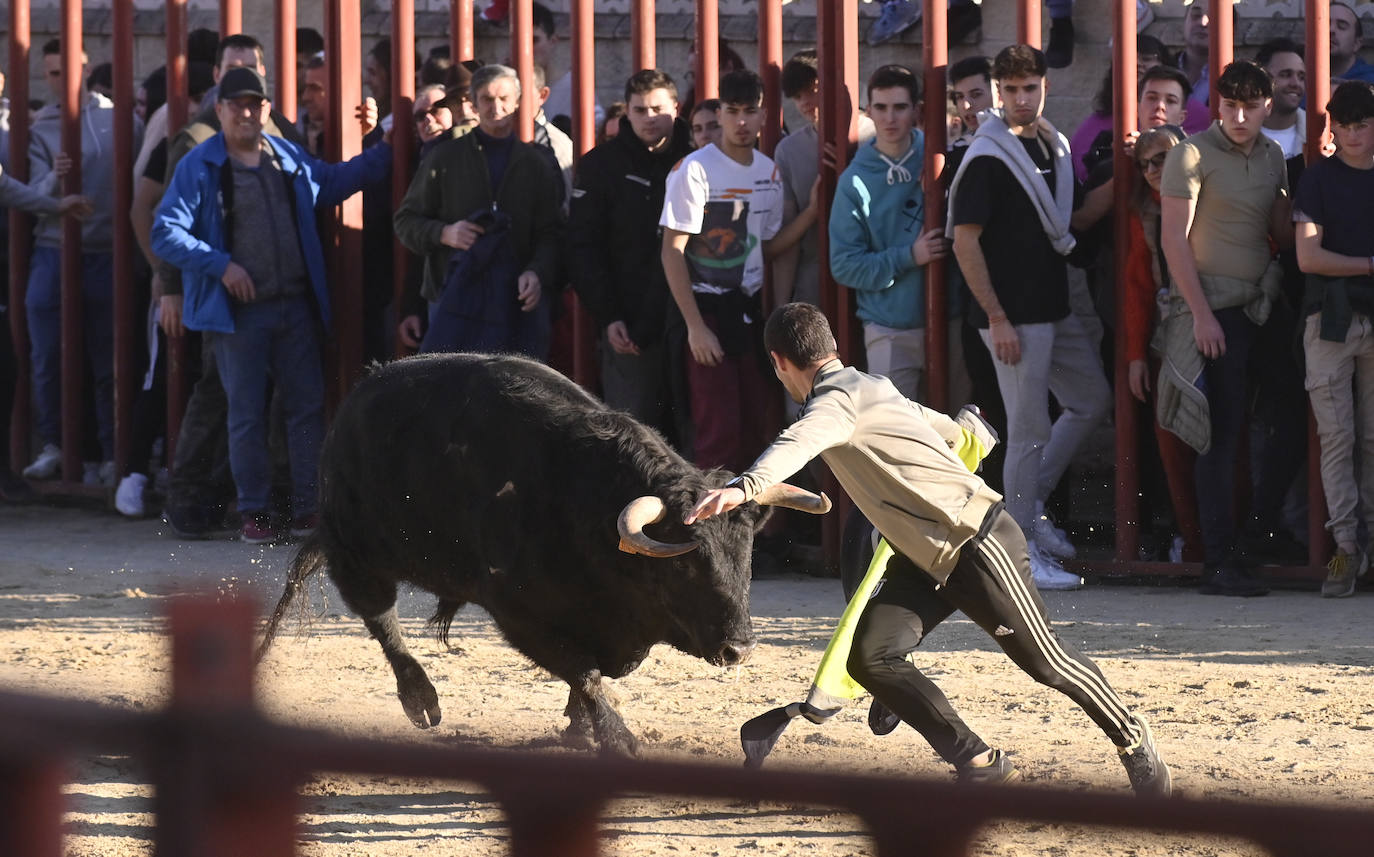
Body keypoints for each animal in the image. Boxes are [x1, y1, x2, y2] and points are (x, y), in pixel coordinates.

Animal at [258, 351, 824, 752]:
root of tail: (359, 393)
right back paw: (420, 700)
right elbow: (584, 671)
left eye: (745, 557)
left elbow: (604, 670)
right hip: (356, 549)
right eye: (684, 563)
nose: (739, 649)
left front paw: (578, 725)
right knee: (380, 618)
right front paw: (615, 738)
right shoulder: (519, 613)